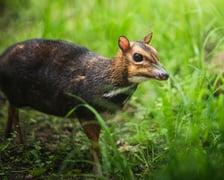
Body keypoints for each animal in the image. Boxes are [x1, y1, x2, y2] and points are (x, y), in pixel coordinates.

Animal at [0, 32, 168, 174]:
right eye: (138, 56)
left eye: (155, 52)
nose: (165, 74)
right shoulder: (85, 112)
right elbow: (94, 144)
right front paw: (98, 172)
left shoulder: (100, 116)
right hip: (16, 92)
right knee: (14, 111)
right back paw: (20, 143)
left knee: (11, 108)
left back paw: (7, 137)